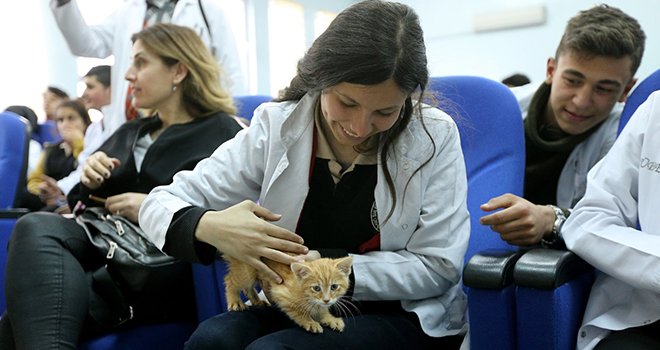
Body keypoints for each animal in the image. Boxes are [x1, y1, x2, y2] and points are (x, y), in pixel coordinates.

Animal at [224, 254, 354, 334]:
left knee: (247, 288)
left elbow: (320, 310)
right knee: (230, 280)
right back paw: (235, 301)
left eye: (334, 287)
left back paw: (258, 301)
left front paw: (331, 319)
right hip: (247, 271)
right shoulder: (281, 295)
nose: (326, 300)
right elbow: (298, 312)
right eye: (316, 288)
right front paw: (310, 322)